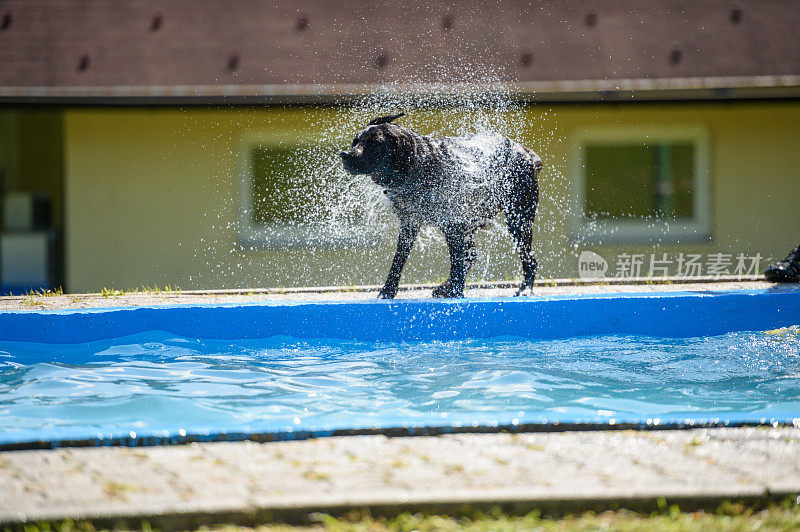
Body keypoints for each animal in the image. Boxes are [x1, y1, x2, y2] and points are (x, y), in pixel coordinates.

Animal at [340, 113, 544, 300]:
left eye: (374, 143)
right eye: (355, 141)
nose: (345, 155)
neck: (418, 166)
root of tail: (525, 151)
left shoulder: (453, 224)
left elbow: (456, 262)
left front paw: (456, 292)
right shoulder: (410, 224)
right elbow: (398, 260)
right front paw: (388, 290)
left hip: (518, 219)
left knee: (529, 260)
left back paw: (525, 289)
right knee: (471, 255)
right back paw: (446, 286)